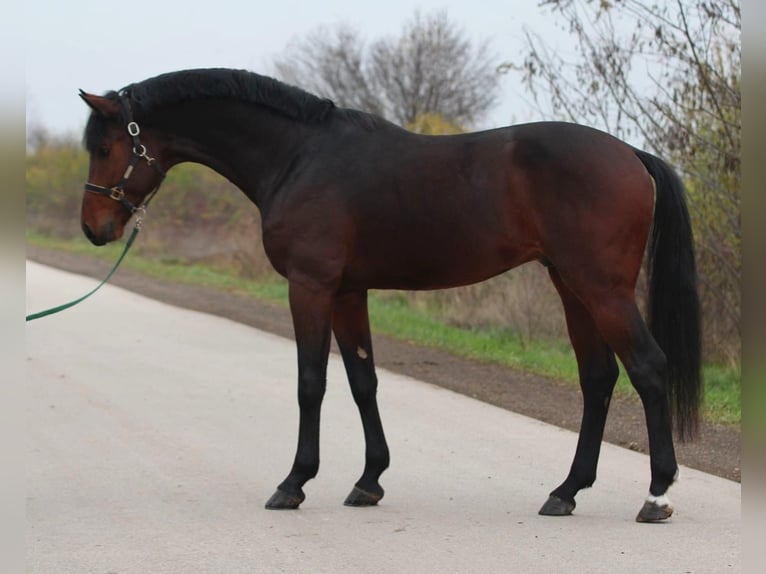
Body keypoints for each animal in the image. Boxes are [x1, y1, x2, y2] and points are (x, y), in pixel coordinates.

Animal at [78, 67, 704, 520]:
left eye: (106, 148)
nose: (93, 229)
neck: (299, 157)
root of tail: (631, 155)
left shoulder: (311, 286)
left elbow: (311, 383)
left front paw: (294, 483)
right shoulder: (349, 292)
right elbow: (363, 381)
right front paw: (369, 481)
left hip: (602, 289)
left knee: (649, 369)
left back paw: (657, 496)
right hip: (571, 285)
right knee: (598, 379)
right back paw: (566, 491)